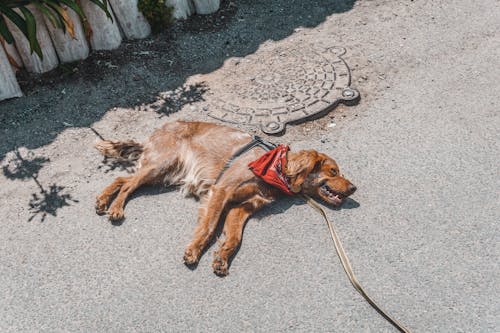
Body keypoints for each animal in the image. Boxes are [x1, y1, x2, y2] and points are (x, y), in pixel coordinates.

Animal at [95, 120, 358, 274]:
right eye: (333, 171)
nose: (354, 188)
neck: (277, 169)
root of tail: (153, 134)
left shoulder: (242, 207)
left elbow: (234, 238)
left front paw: (221, 257)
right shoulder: (221, 191)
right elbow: (210, 226)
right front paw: (194, 251)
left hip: (164, 172)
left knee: (122, 179)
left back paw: (102, 201)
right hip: (162, 164)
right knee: (128, 185)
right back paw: (116, 209)